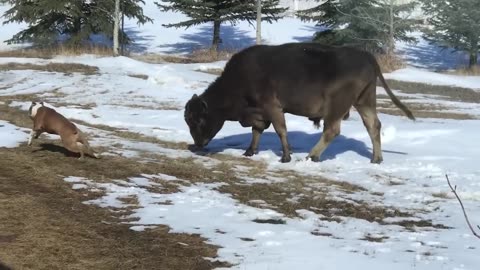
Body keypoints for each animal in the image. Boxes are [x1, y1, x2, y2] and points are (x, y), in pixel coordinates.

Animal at [184, 42, 412, 162]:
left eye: (199, 120)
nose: (198, 144)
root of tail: (367, 56)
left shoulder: (272, 106)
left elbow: (280, 129)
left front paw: (286, 156)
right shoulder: (260, 112)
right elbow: (257, 130)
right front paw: (249, 151)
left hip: (337, 106)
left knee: (332, 130)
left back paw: (312, 155)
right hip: (364, 101)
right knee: (373, 125)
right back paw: (376, 159)